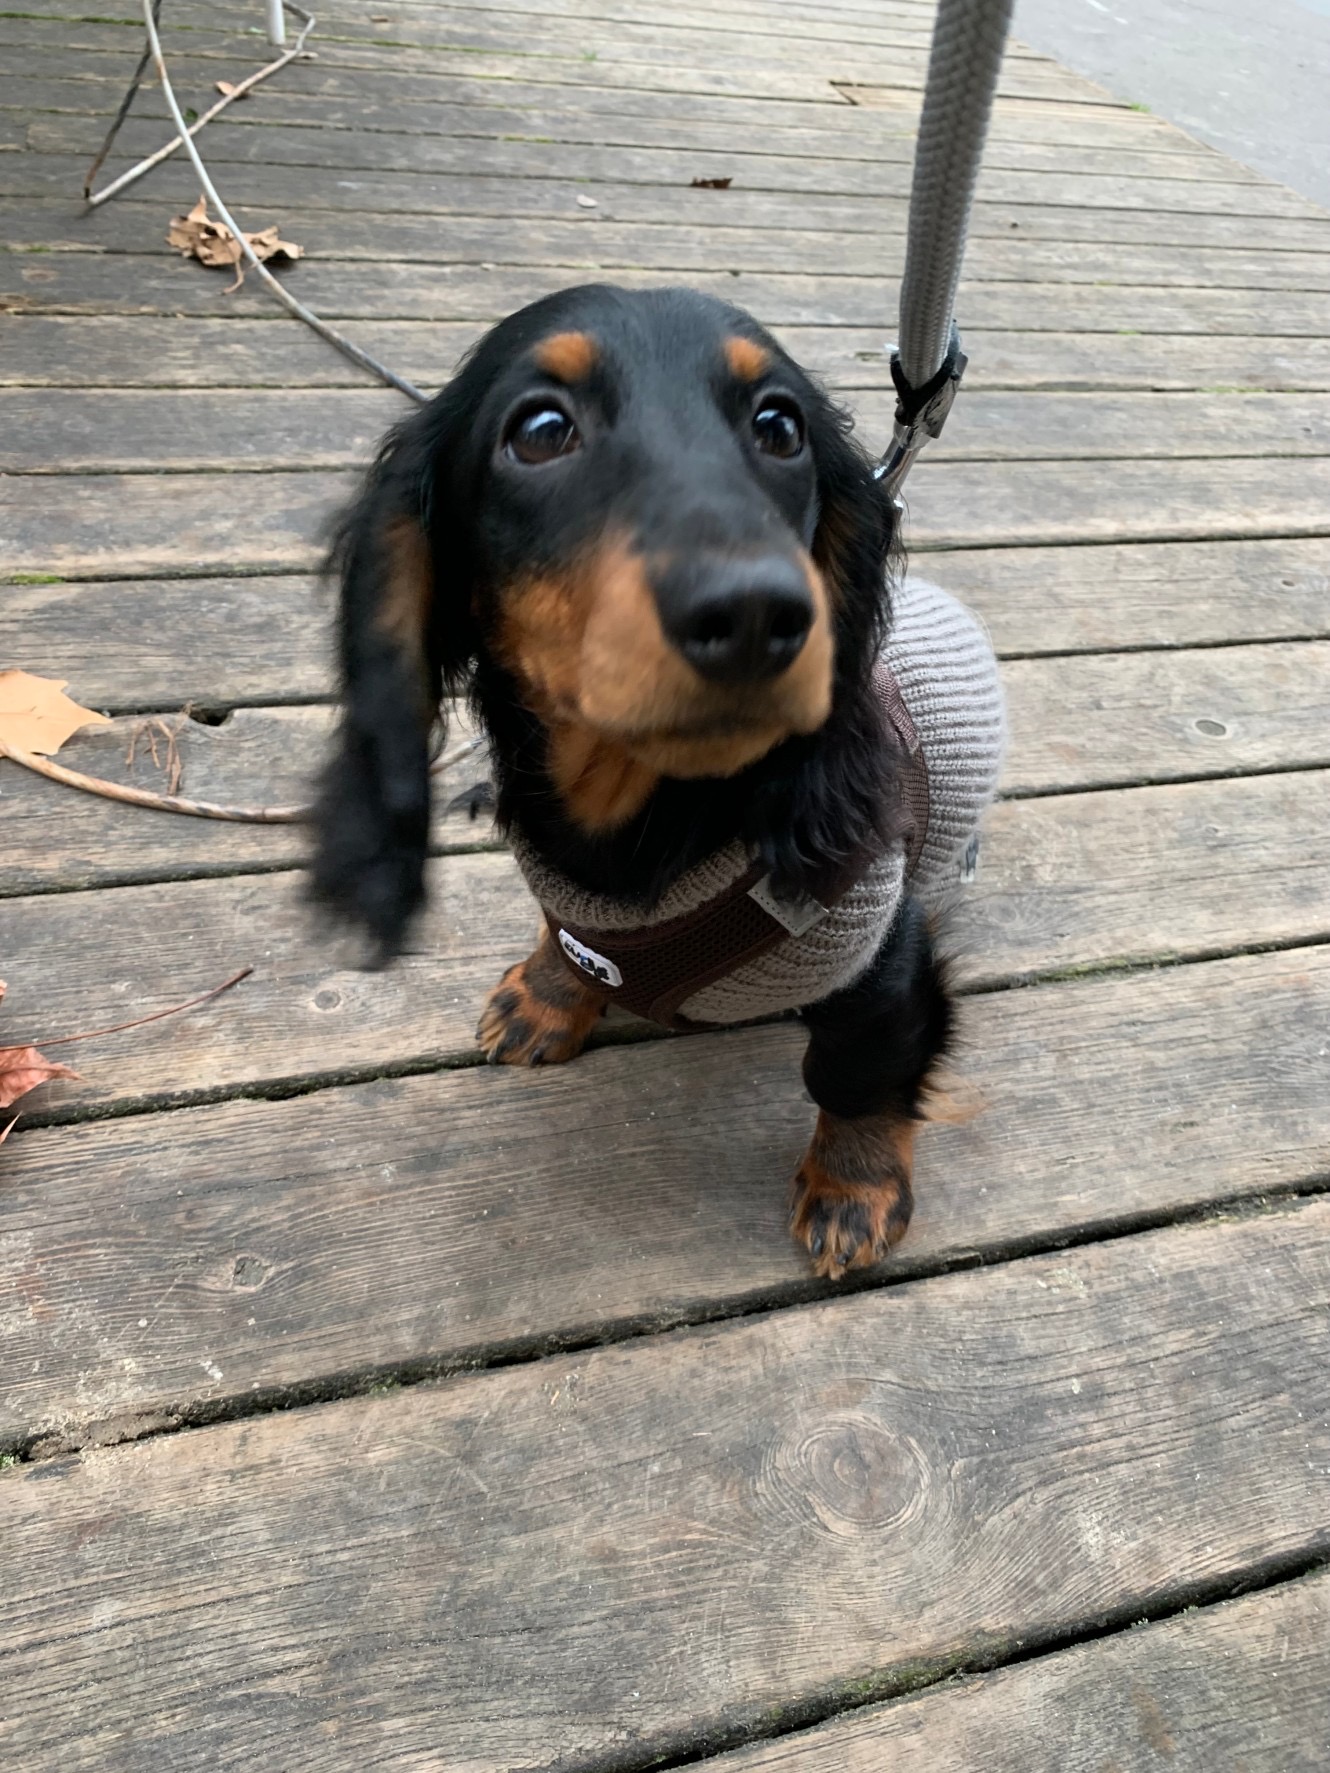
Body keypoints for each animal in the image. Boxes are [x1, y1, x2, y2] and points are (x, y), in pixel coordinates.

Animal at [312, 280, 1000, 1276]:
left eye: (780, 426)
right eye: (541, 429)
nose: (755, 615)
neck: (643, 819)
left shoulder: (881, 952)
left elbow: (858, 1070)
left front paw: (854, 1187)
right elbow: (569, 941)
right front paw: (549, 993)